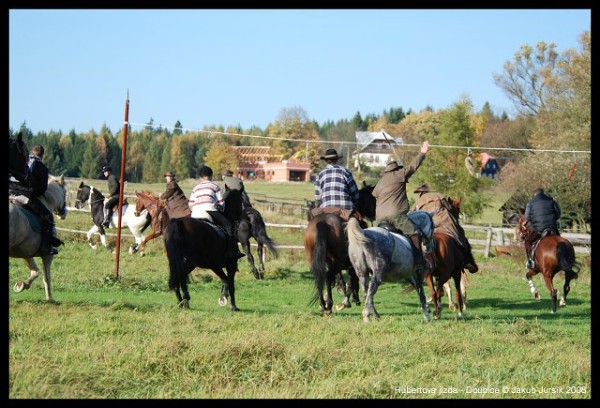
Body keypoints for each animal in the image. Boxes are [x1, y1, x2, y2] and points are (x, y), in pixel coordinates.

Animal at [304, 183, 376, 318]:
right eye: (372, 199)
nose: (374, 214)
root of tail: (322, 222)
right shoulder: (352, 264)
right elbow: (353, 282)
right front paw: (350, 301)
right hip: (338, 262)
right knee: (328, 277)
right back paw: (329, 306)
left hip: (315, 259)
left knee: (320, 277)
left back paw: (323, 305)